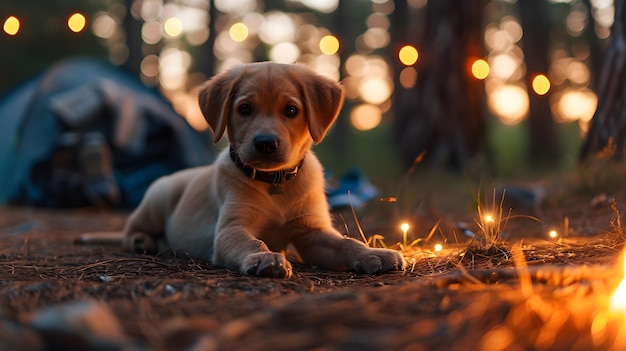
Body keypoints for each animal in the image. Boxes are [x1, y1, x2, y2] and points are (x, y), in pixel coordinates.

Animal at [122, 62, 404, 278]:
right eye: (244, 108)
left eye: (291, 110)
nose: (266, 143)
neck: (275, 182)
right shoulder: (230, 229)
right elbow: (251, 241)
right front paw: (264, 257)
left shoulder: (312, 231)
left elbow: (346, 241)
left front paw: (372, 253)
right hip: (158, 195)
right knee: (130, 229)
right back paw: (141, 240)